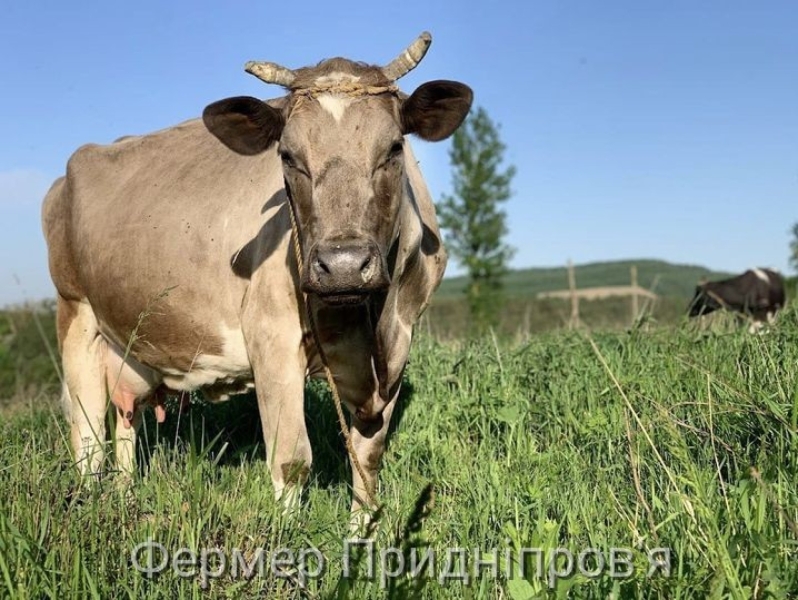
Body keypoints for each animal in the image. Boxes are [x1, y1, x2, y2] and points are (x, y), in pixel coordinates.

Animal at [40, 31, 472, 524]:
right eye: (287, 156)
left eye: (395, 148)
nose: (343, 264)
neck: (365, 324)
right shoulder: (270, 333)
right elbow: (291, 458)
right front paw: (286, 534)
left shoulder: (398, 346)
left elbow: (368, 458)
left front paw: (362, 532)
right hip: (75, 313)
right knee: (87, 433)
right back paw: (90, 504)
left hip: (130, 343)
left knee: (125, 421)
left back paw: (125, 497)